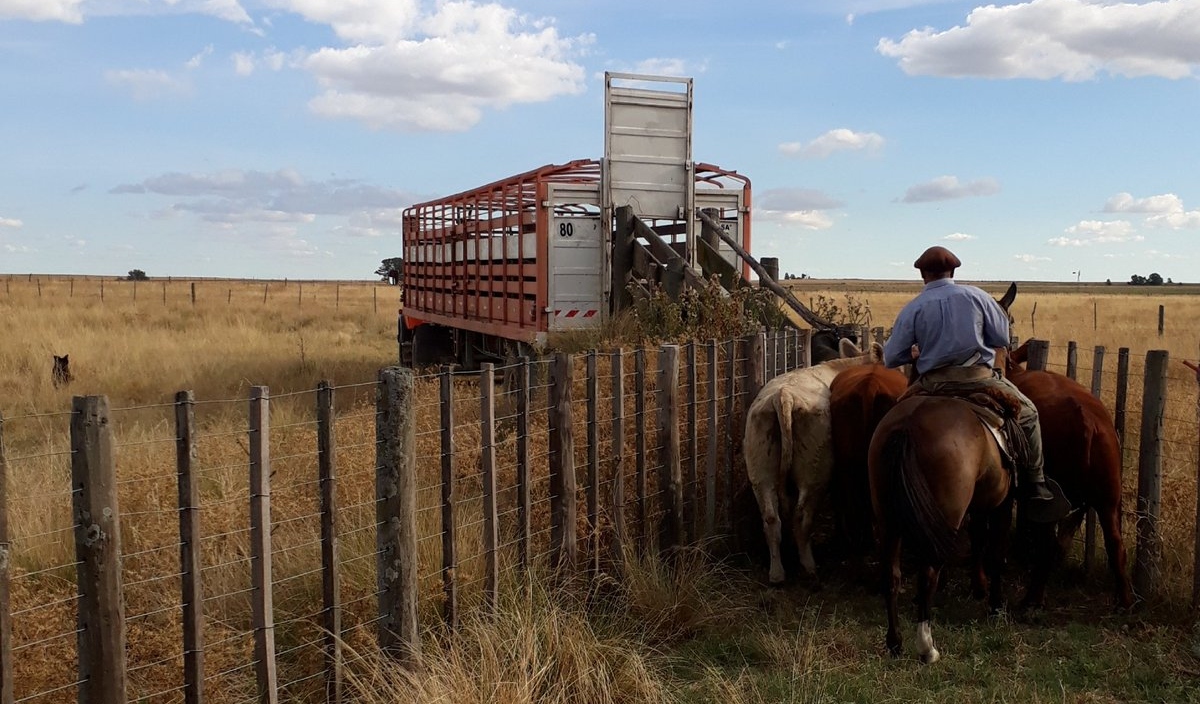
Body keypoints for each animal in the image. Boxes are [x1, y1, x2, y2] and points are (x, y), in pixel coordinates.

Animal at [744, 338, 888, 582]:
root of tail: (783, 395)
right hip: (815, 475)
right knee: (802, 517)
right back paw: (809, 566)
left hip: (761, 474)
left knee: (771, 518)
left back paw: (777, 573)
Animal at [868, 400, 1017, 662]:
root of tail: (907, 425)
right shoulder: (1002, 505)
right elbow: (995, 555)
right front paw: (996, 605)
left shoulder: (980, 506)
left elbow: (978, 538)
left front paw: (979, 587)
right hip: (946, 514)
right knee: (927, 575)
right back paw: (927, 648)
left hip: (888, 522)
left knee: (891, 576)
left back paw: (895, 643)